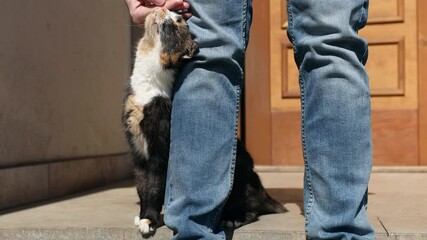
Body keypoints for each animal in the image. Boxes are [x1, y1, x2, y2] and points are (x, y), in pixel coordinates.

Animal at [122, 7, 286, 238]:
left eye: (177, 20)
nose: (162, 7)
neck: (149, 86)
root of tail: (263, 192)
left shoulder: (159, 154)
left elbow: (153, 186)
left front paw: (149, 221)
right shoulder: (137, 152)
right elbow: (141, 187)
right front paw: (142, 215)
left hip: (240, 180)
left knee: (252, 207)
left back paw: (233, 218)